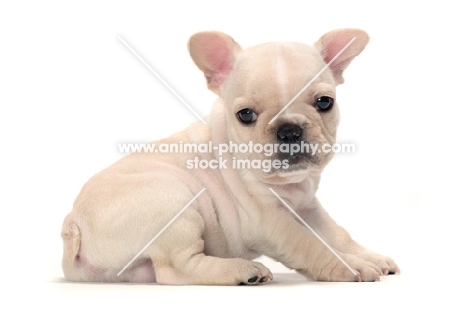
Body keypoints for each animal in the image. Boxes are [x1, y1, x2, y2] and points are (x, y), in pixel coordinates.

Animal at [61, 28, 398, 286]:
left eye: (325, 102)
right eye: (245, 115)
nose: (289, 130)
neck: (288, 185)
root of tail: (73, 224)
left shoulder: (308, 207)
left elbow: (337, 234)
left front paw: (370, 256)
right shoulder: (270, 223)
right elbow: (310, 244)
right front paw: (349, 266)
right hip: (174, 203)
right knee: (176, 269)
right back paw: (243, 270)